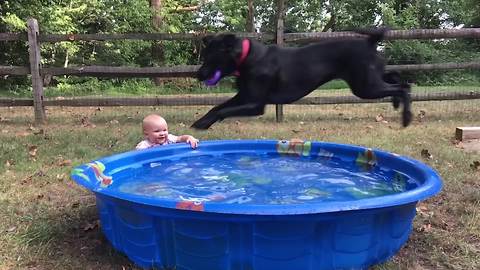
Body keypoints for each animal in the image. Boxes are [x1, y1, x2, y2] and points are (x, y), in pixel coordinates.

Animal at [193, 29, 410, 130]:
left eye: (211, 57)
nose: (198, 74)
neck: (247, 57)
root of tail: (370, 41)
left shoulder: (255, 104)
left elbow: (224, 110)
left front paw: (203, 124)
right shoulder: (244, 96)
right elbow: (217, 107)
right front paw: (202, 120)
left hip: (365, 87)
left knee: (403, 87)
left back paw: (406, 117)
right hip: (369, 80)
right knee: (398, 78)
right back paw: (396, 103)